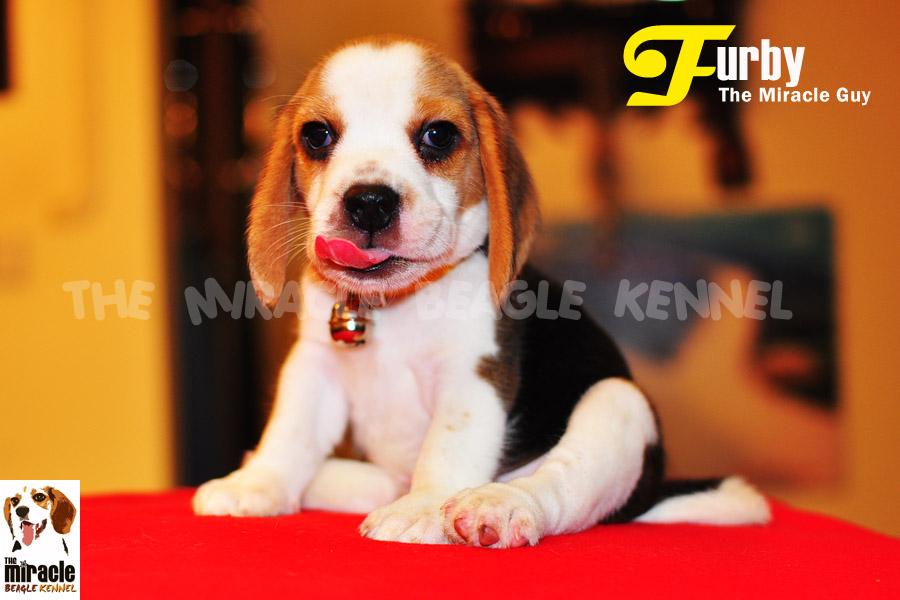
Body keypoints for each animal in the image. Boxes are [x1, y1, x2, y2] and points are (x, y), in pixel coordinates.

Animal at [193, 36, 770, 547]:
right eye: (316, 135)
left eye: (438, 136)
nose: (369, 202)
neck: (397, 307)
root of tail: (650, 492)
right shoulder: (314, 364)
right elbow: (290, 432)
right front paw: (259, 484)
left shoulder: (472, 374)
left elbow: (447, 447)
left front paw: (424, 508)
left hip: (618, 405)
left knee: (558, 486)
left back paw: (498, 504)